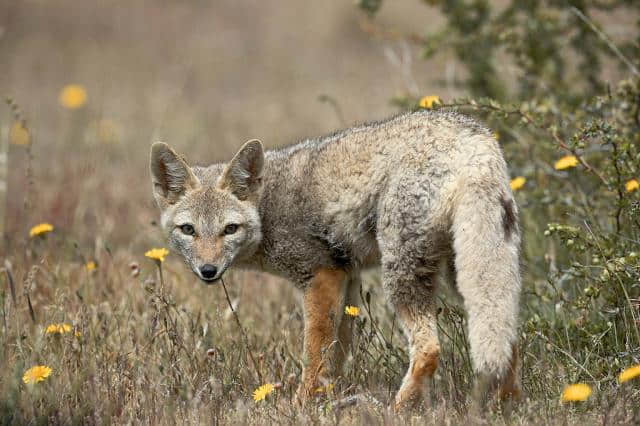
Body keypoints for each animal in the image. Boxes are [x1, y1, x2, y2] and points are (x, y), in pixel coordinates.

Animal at [149, 110, 520, 412]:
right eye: (188, 230)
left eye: (229, 229)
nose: (208, 271)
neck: (268, 208)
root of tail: (473, 139)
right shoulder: (347, 276)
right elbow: (336, 355)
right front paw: (331, 398)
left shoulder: (321, 276)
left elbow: (314, 353)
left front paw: (302, 405)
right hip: (468, 276)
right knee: (507, 341)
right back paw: (506, 407)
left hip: (403, 276)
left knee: (429, 349)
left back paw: (396, 410)